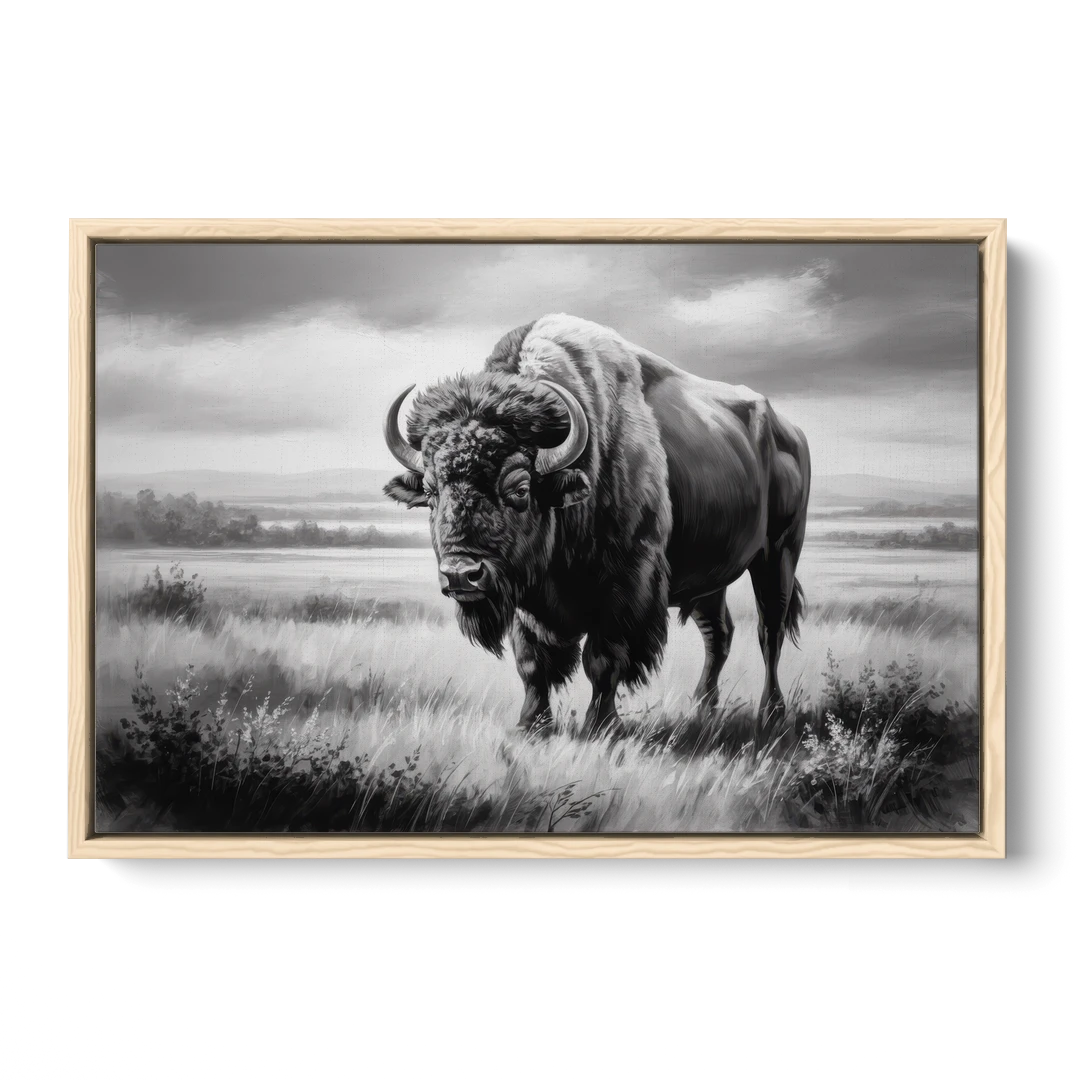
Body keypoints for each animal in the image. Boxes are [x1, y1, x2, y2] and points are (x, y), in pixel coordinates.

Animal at [383, 313, 811, 747]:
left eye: (519, 489)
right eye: (431, 492)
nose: (460, 574)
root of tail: (790, 432)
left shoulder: (625, 585)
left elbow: (603, 660)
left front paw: (602, 726)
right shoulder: (527, 597)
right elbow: (531, 662)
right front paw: (531, 726)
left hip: (778, 555)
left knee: (769, 629)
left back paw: (771, 715)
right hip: (711, 578)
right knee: (718, 633)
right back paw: (704, 710)